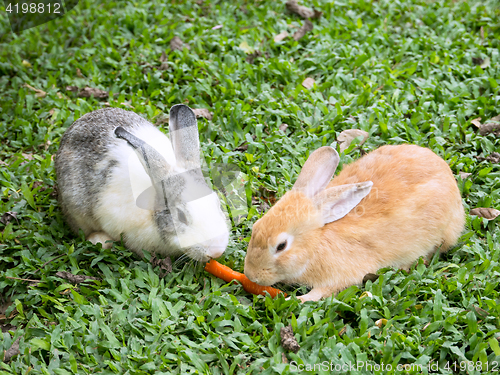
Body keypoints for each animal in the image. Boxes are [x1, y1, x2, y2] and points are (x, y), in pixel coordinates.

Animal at [243, 144, 464, 302]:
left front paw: (300, 299)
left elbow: (323, 291)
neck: (316, 242)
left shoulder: (340, 276)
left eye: (281, 246)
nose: (252, 275)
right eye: (256, 228)